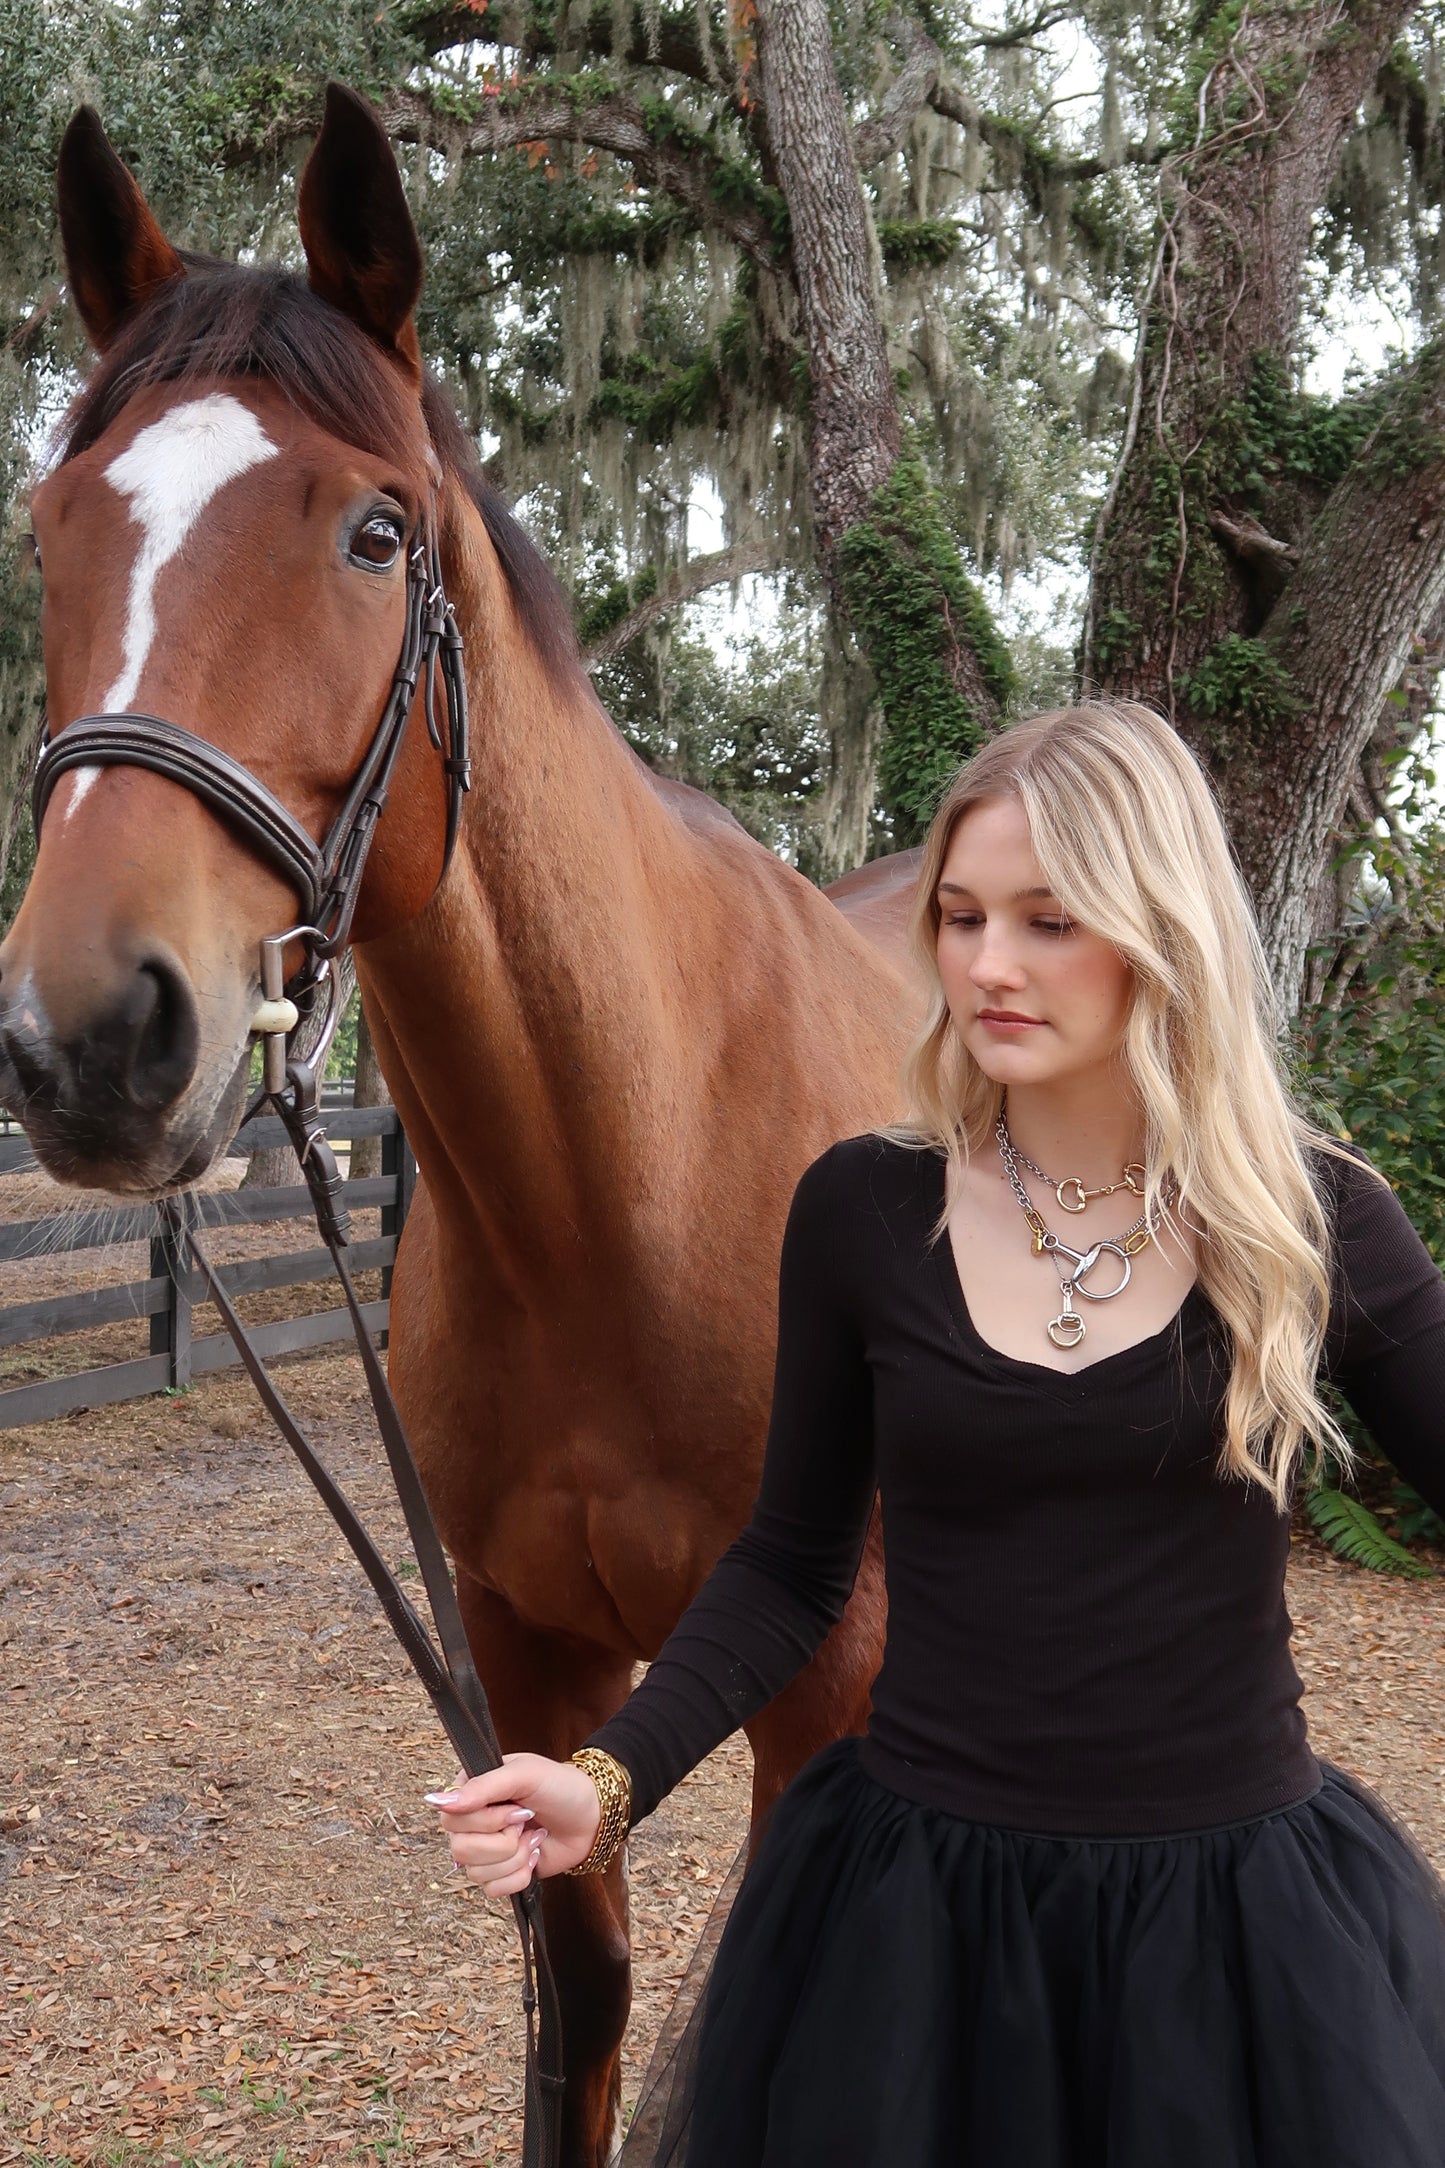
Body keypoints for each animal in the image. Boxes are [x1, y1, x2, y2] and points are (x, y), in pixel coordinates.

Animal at [1, 87, 920, 2166]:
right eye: (54, 531)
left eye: (373, 530)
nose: (89, 1035)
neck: (629, 1179)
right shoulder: (521, 1661)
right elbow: (579, 2013)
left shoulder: (821, 1675)